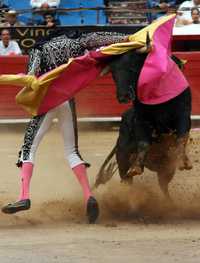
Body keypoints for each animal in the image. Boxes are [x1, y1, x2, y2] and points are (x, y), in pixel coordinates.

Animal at [94, 50, 193, 201]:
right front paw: (136, 168)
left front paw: (184, 162)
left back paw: (169, 202)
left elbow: (182, 136)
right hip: (122, 156)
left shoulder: (183, 115)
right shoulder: (141, 120)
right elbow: (144, 142)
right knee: (127, 180)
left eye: (133, 68)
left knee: (163, 185)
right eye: (113, 74)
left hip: (166, 169)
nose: (123, 96)